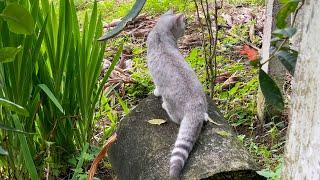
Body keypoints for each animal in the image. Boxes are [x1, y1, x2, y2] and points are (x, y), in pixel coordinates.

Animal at [146, 10, 210, 178]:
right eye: (184, 24)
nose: (187, 28)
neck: (160, 34)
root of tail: (195, 109)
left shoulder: (155, 77)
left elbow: (157, 86)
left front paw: (156, 92)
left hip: (170, 103)